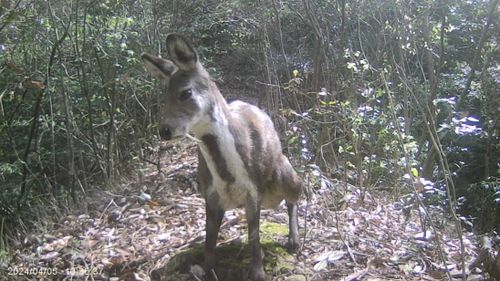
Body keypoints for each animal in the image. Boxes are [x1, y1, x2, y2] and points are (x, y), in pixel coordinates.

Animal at [143, 34, 302, 280]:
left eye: (186, 93)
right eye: (164, 98)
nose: (165, 131)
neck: (228, 174)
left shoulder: (253, 189)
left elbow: (254, 236)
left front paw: (258, 273)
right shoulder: (209, 194)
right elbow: (209, 243)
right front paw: (208, 272)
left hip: (283, 174)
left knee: (299, 190)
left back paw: (294, 241)